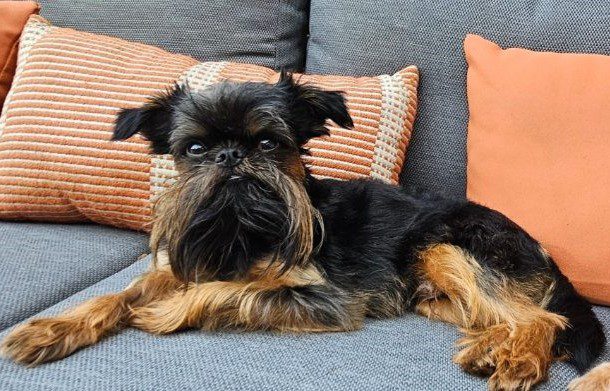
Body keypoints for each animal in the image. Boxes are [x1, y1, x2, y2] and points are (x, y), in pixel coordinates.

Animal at [2, 74, 604, 391]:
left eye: (270, 142)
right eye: (194, 149)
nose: (230, 155)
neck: (240, 231)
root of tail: (542, 249)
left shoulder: (324, 298)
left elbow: (232, 289)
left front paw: (168, 312)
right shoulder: (179, 266)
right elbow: (117, 295)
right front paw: (51, 328)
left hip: (448, 245)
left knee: (542, 317)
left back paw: (517, 359)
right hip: (433, 289)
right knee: (505, 313)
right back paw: (488, 346)